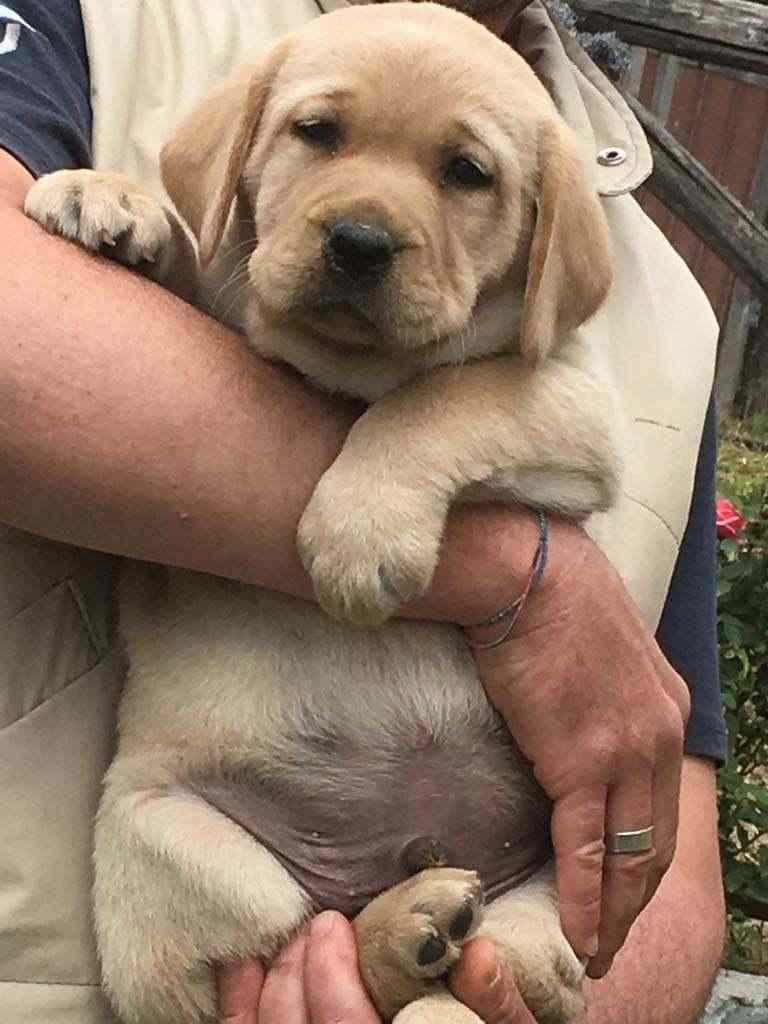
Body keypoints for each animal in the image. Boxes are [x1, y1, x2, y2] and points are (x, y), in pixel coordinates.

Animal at [27, 2, 622, 1024]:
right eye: (316, 132)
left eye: (468, 173)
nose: (359, 242)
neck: (343, 370)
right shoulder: (235, 285)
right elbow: (203, 253)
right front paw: (114, 200)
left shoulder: (573, 401)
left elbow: (445, 398)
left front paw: (359, 534)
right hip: (166, 834)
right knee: (311, 931)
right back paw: (411, 927)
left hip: (550, 883)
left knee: (477, 955)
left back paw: (439, 936)